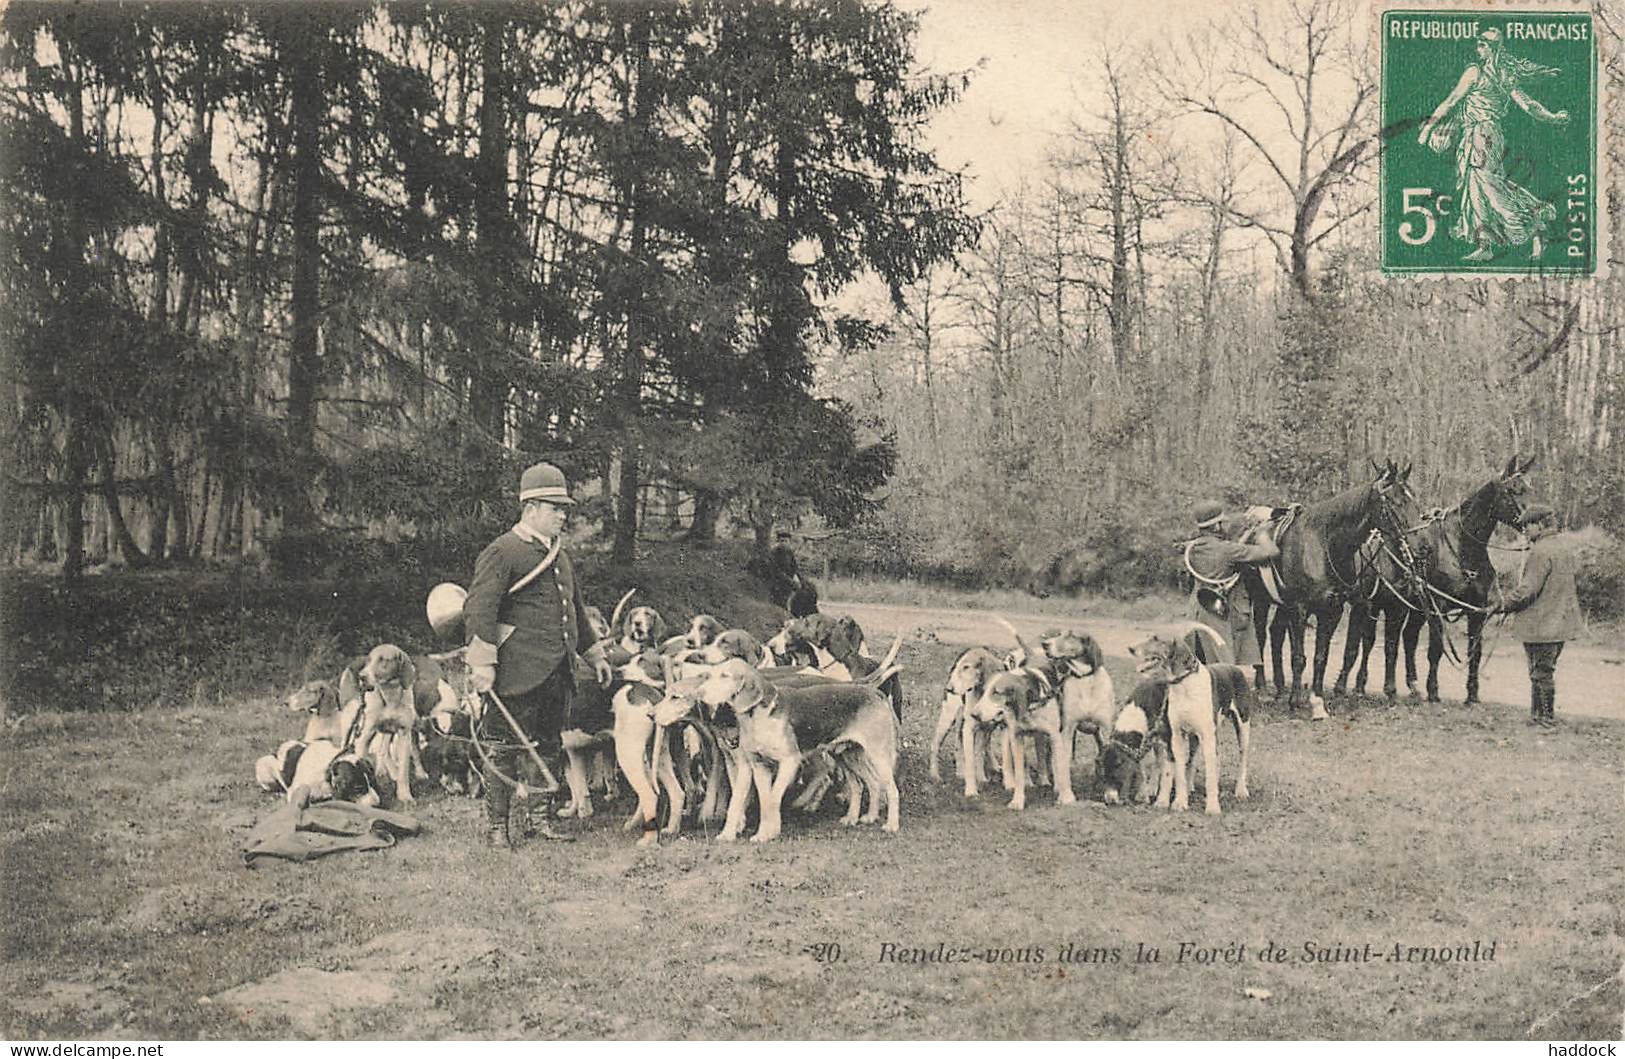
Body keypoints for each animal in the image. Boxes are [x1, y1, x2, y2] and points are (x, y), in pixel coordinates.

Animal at [1241, 458, 1423, 714]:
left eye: (1414, 500)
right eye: (1396, 502)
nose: (1420, 547)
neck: (1323, 546)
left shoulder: (1333, 610)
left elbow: (1323, 655)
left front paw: (1316, 698)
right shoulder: (1301, 609)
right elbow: (1300, 657)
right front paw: (1297, 701)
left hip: (1283, 605)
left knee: (1275, 633)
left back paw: (1279, 687)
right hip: (1261, 600)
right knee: (1260, 637)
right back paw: (1262, 687)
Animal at [1326, 454, 1527, 701]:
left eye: (1527, 487)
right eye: (1513, 490)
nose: (1539, 517)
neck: (1461, 549)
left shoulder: (1476, 611)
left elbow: (1474, 652)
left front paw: (1471, 695)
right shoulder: (1433, 607)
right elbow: (1433, 650)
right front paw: (1433, 691)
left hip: (1415, 610)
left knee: (1407, 638)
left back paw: (1411, 686)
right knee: (1370, 640)